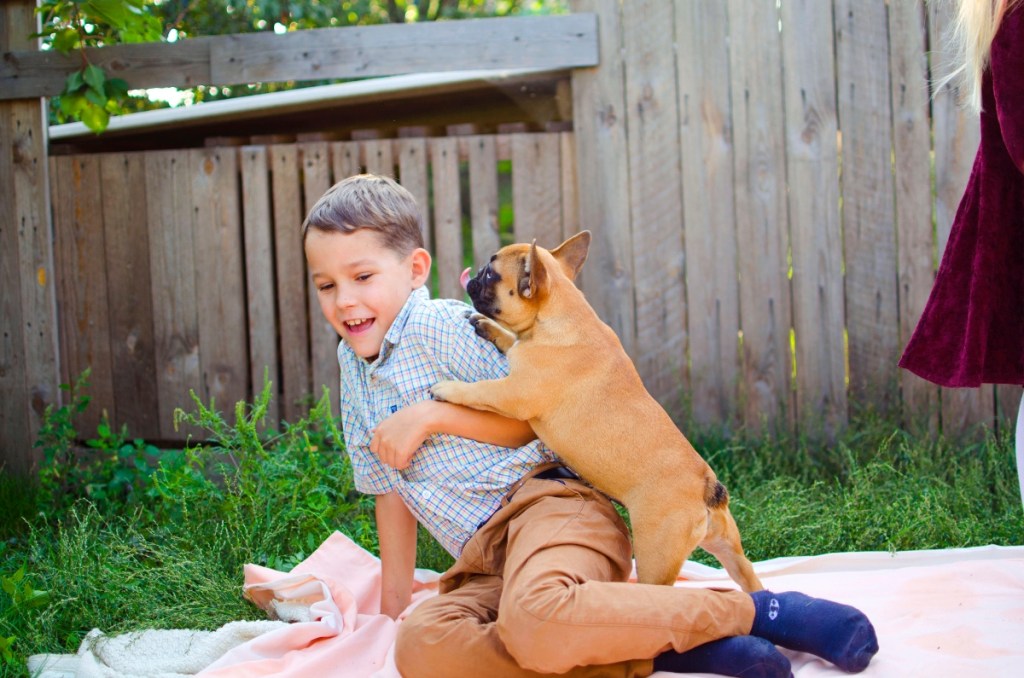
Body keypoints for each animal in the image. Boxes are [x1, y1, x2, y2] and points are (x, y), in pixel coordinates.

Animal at [430, 231, 761, 594]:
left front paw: (447, 389)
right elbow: (510, 341)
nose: (474, 275)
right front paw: (488, 327)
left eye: (491, 274)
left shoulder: (514, 393)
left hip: (656, 555)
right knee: (748, 577)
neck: (559, 314)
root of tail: (707, 486)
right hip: (728, 545)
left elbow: (480, 390)